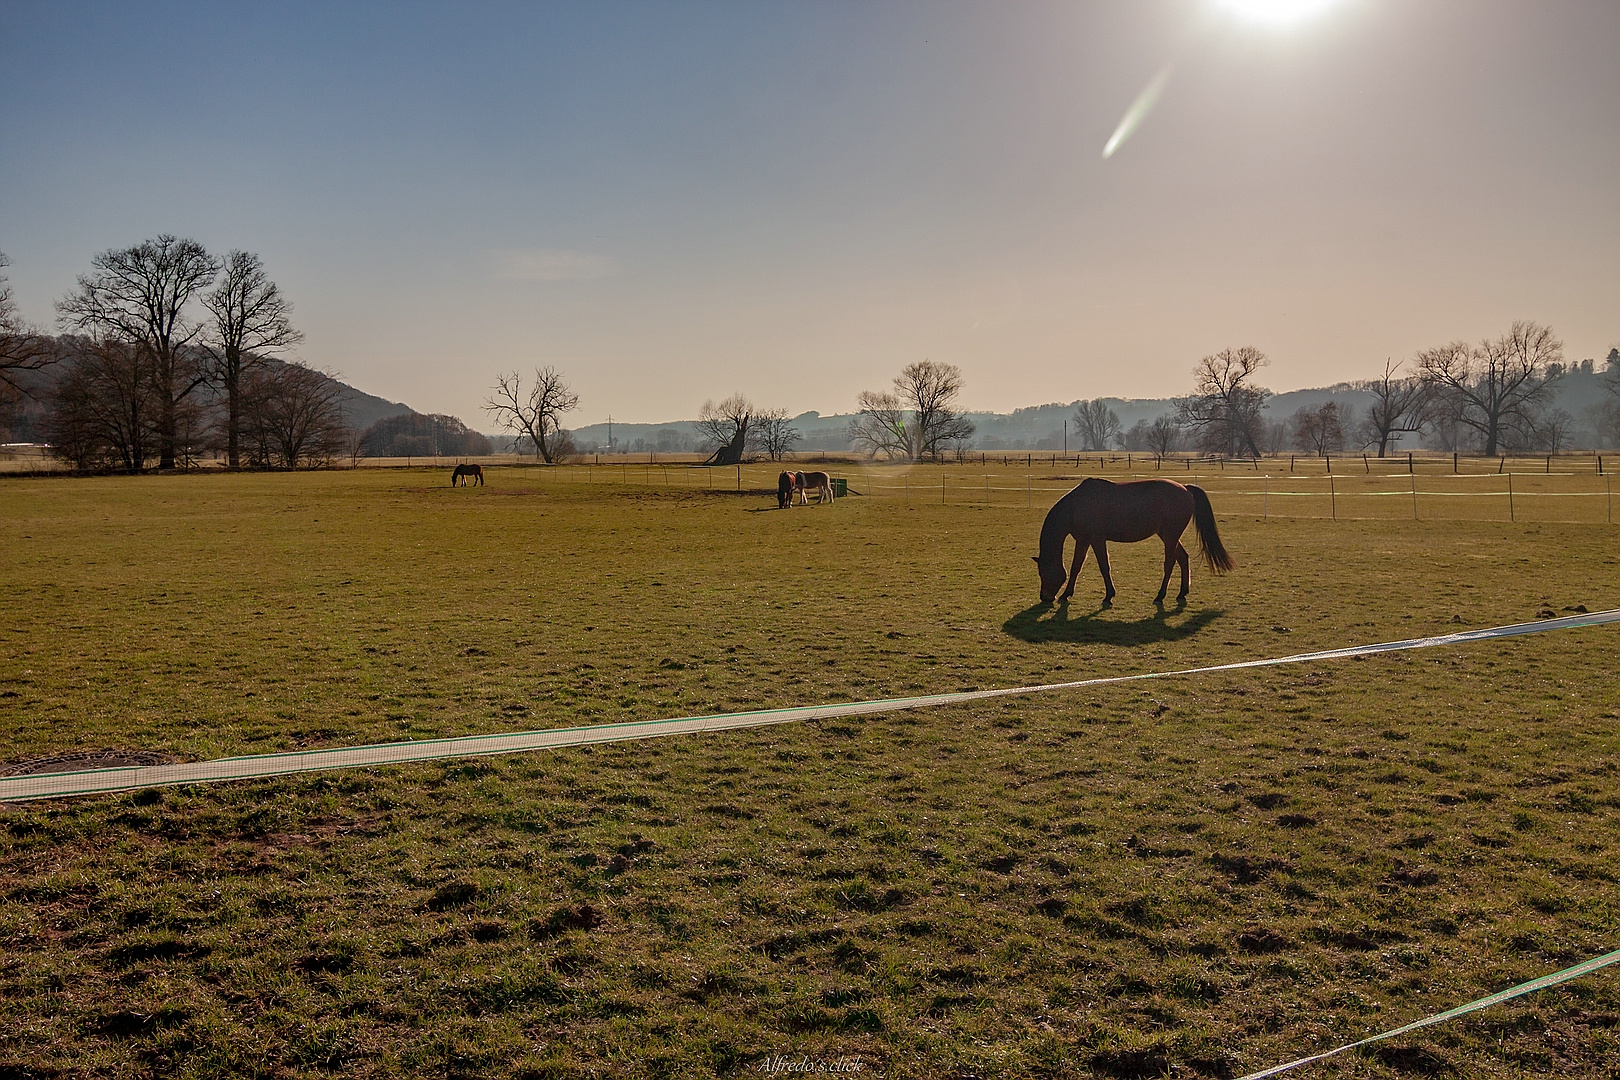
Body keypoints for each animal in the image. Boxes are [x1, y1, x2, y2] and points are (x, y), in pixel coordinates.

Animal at [1030, 476, 1231, 605]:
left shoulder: (1097, 539)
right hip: (1168, 536)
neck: (1076, 506)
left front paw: (1109, 596)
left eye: (1042, 573)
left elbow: (1104, 566)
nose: (1044, 597)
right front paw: (1066, 594)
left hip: (1170, 537)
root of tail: (1185, 488)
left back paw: (1160, 595)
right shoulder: (1083, 540)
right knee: (1183, 558)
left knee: (1170, 563)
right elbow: (1076, 567)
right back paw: (1182, 593)